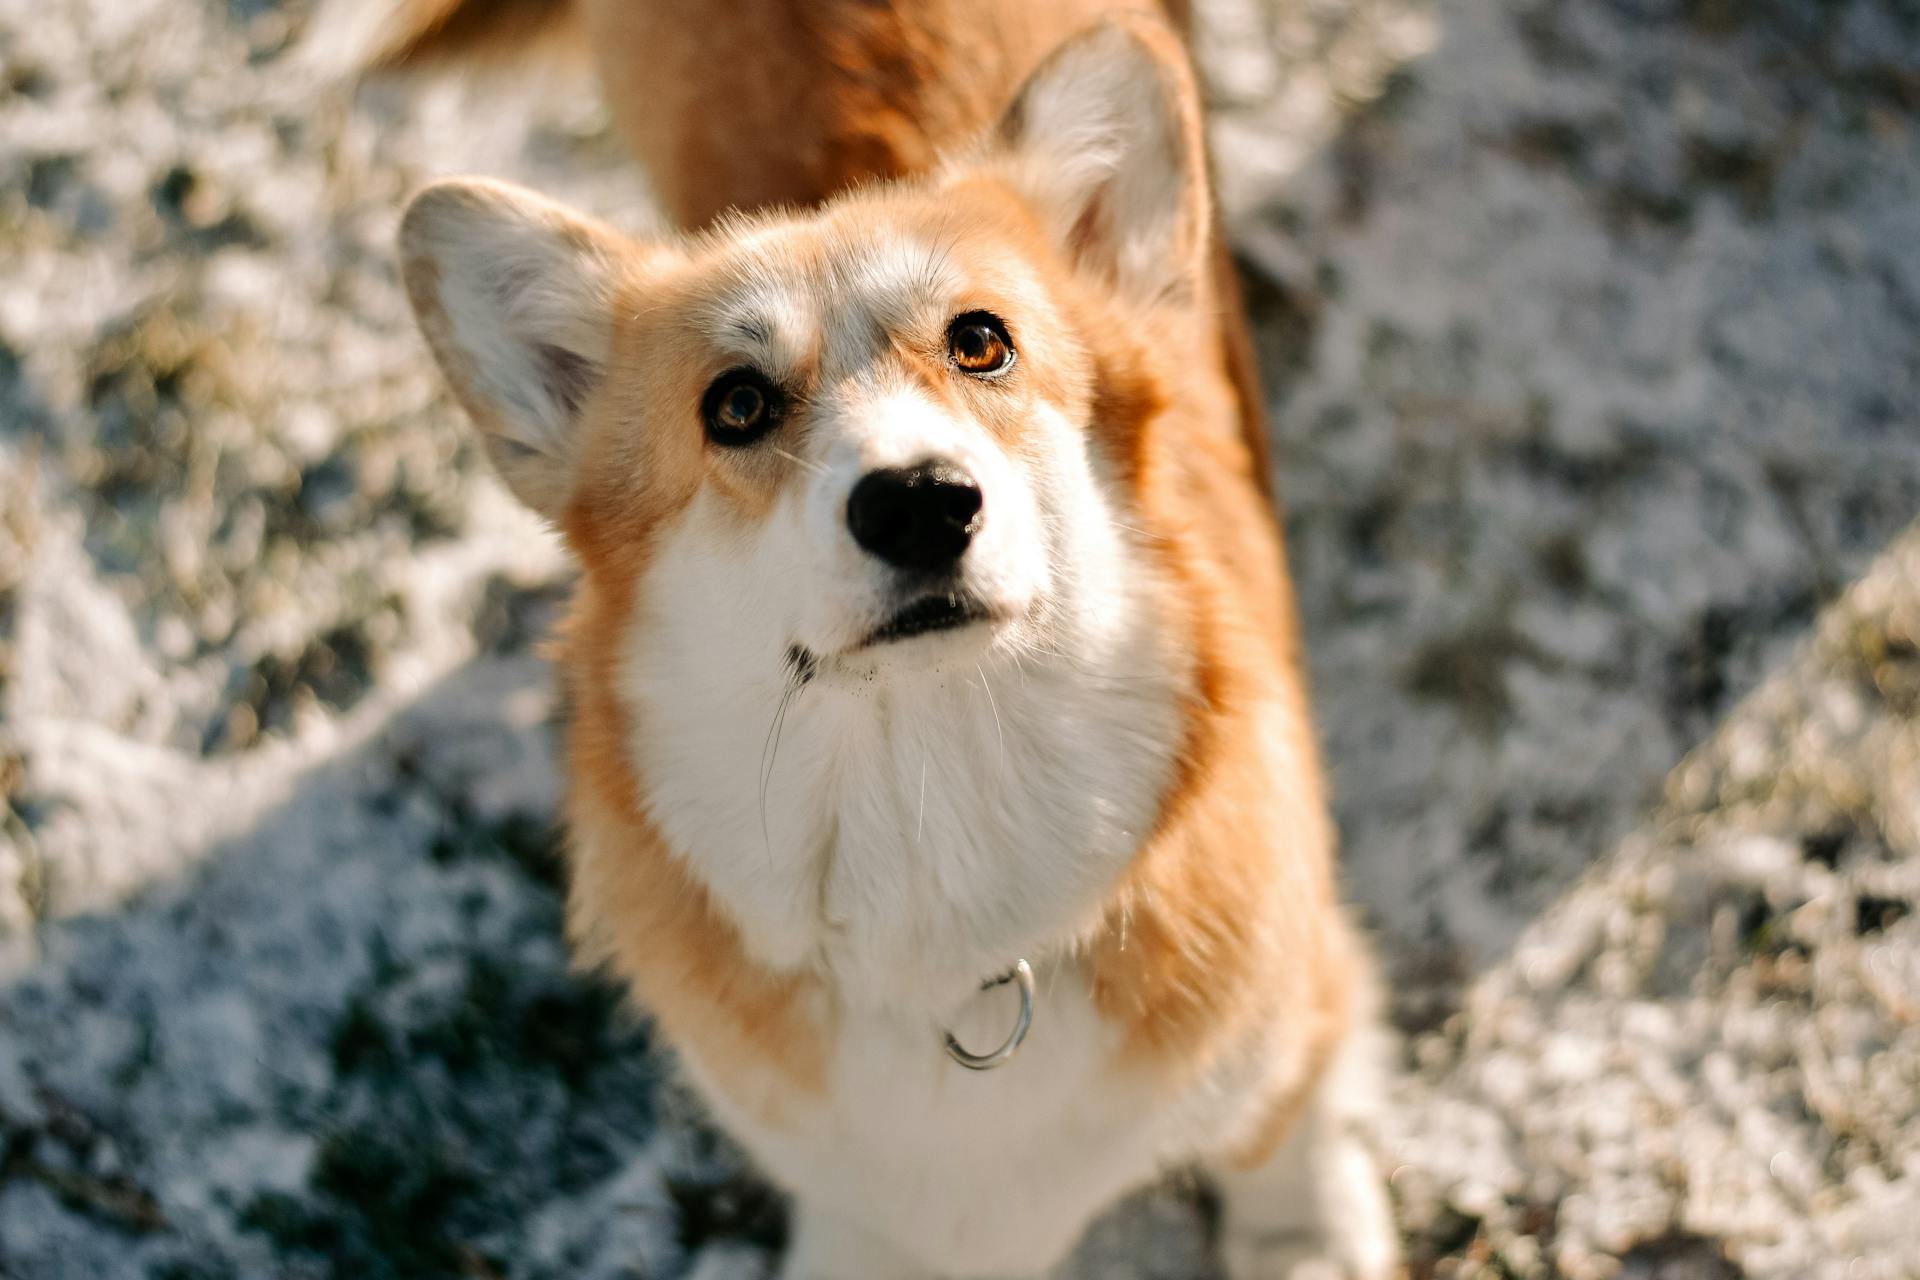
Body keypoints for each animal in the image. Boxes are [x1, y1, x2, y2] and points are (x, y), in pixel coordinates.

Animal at [378, 2, 1397, 1280]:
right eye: (736, 405)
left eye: (982, 341)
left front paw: (1304, 1235)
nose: (919, 503)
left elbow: (1280, 1118)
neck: (935, 799)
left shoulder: (1295, 997)